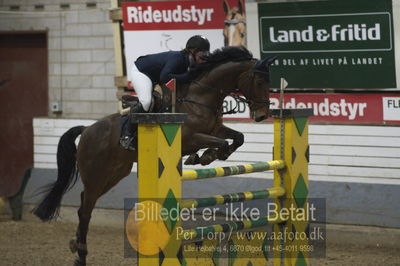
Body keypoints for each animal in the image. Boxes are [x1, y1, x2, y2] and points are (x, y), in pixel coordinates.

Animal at [32, 46, 276, 266]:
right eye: (259, 82)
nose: (262, 115)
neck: (201, 96)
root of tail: (86, 130)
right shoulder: (190, 138)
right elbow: (221, 142)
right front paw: (206, 156)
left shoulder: (215, 129)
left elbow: (238, 137)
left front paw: (208, 156)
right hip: (96, 175)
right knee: (85, 210)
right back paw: (81, 255)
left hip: (114, 174)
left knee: (84, 202)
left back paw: (75, 244)